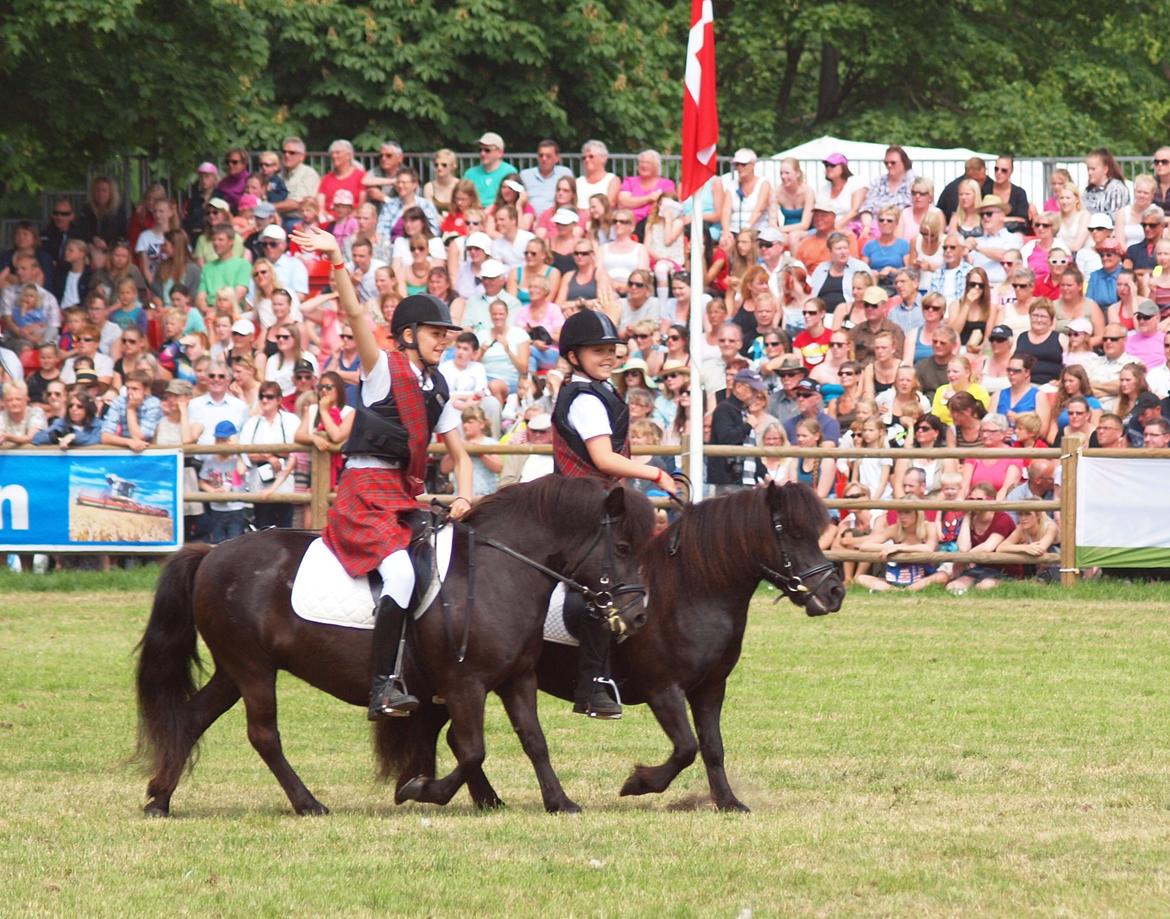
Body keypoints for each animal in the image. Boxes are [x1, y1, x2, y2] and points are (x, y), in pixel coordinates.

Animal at [134, 477, 659, 814]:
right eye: (623, 548)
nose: (637, 616)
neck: (498, 571)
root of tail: (211, 553)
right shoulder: (464, 684)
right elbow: (472, 750)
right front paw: (420, 790)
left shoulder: (517, 679)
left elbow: (534, 741)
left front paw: (559, 801)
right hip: (253, 669)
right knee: (264, 735)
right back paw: (307, 803)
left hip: (233, 671)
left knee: (191, 719)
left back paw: (159, 799)